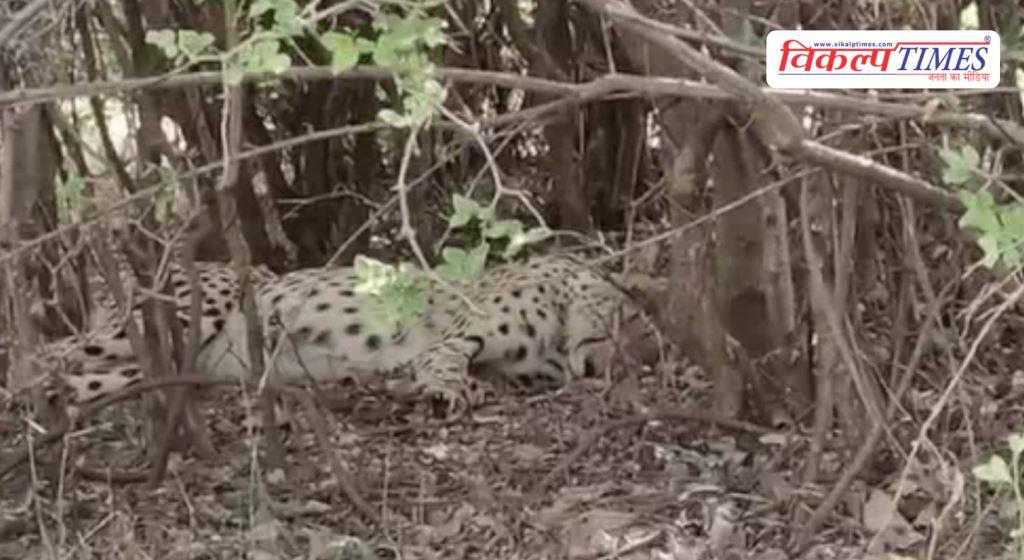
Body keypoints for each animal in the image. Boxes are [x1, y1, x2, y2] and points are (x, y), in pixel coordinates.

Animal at [29, 252, 659, 419]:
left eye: (642, 358)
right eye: (626, 324)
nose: (603, 369)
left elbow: (479, 378)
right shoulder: (455, 338)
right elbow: (444, 362)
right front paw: (445, 392)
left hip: (162, 367)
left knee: (76, 376)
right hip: (191, 312)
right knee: (49, 351)